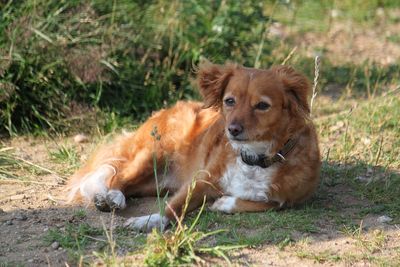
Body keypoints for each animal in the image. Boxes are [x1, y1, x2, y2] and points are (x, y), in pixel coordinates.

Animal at [67, 62, 320, 232]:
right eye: (229, 101)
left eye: (262, 105)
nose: (232, 129)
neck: (254, 158)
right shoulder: (202, 179)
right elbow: (176, 205)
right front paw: (149, 220)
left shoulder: (290, 199)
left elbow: (269, 204)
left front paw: (224, 203)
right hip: (152, 156)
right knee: (118, 177)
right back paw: (111, 197)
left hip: (156, 183)